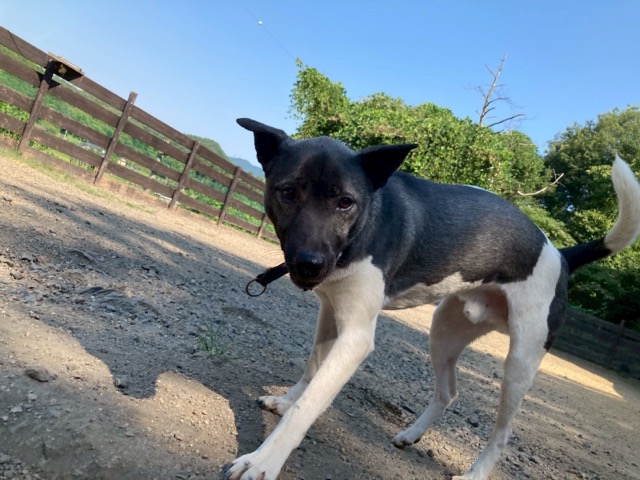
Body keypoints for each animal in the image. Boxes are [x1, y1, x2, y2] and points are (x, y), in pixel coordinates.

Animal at [226, 118, 640, 480]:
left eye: (345, 202)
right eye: (288, 192)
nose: (309, 264)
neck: (365, 223)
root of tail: (561, 254)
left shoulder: (355, 337)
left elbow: (309, 405)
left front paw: (262, 461)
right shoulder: (331, 312)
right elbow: (311, 369)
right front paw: (285, 400)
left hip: (521, 362)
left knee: (502, 433)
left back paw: (474, 474)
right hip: (443, 331)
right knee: (448, 392)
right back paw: (411, 434)